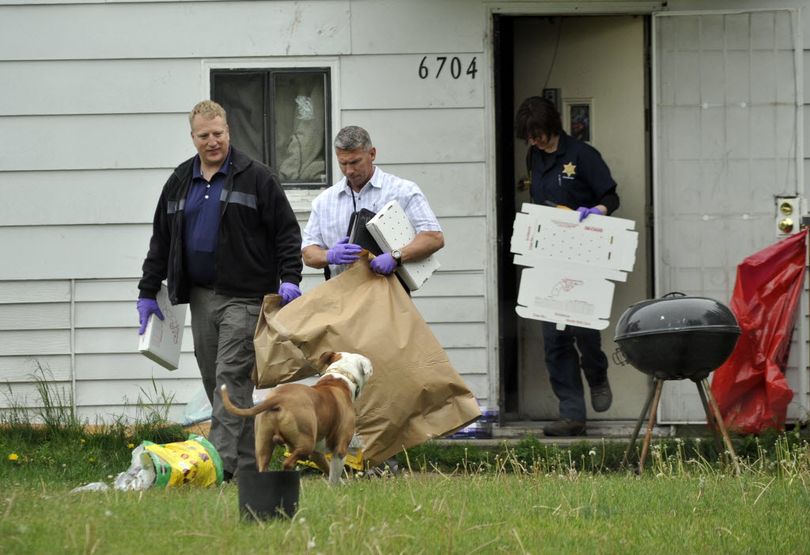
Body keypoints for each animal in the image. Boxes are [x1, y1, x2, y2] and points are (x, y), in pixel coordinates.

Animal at [221, 354, 372, 484]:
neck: (340, 378)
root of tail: (280, 397)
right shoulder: (340, 449)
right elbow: (334, 476)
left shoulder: (317, 454)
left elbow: (328, 469)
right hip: (306, 443)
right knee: (288, 463)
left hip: (264, 445)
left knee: (264, 467)